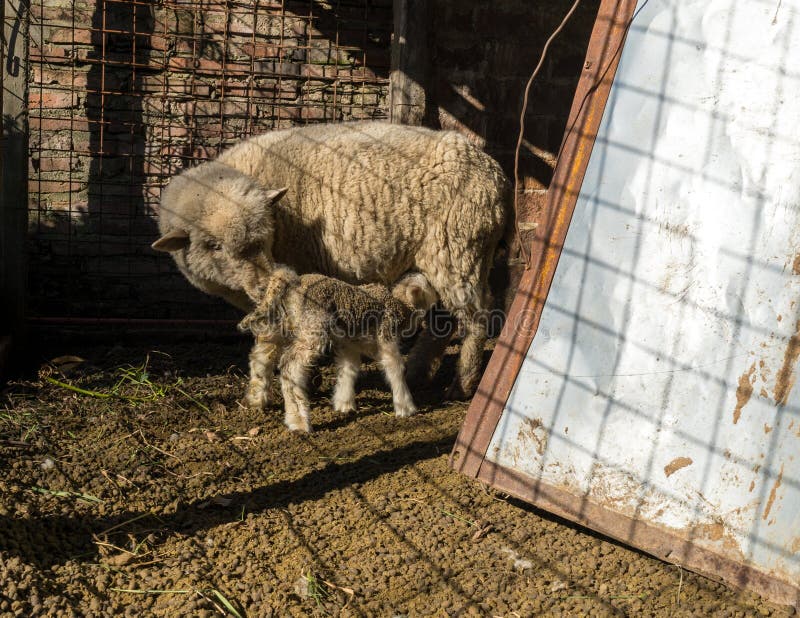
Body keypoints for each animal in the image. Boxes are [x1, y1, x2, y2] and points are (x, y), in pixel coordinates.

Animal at [151, 120, 510, 400]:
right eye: (212, 246)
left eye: (266, 234)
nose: (265, 283)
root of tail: (495, 171)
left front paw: (307, 379)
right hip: (443, 256)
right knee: (444, 319)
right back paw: (418, 373)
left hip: (458, 248)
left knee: (477, 317)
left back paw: (462, 384)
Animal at [237, 266, 439, 432]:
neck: (399, 306)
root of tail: (293, 282)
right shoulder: (386, 339)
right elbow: (395, 369)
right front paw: (406, 407)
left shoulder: (349, 345)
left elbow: (348, 370)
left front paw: (344, 404)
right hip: (312, 329)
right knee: (290, 367)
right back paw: (298, 422)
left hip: (280, 325)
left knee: (261, 355)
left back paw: (256, 399)